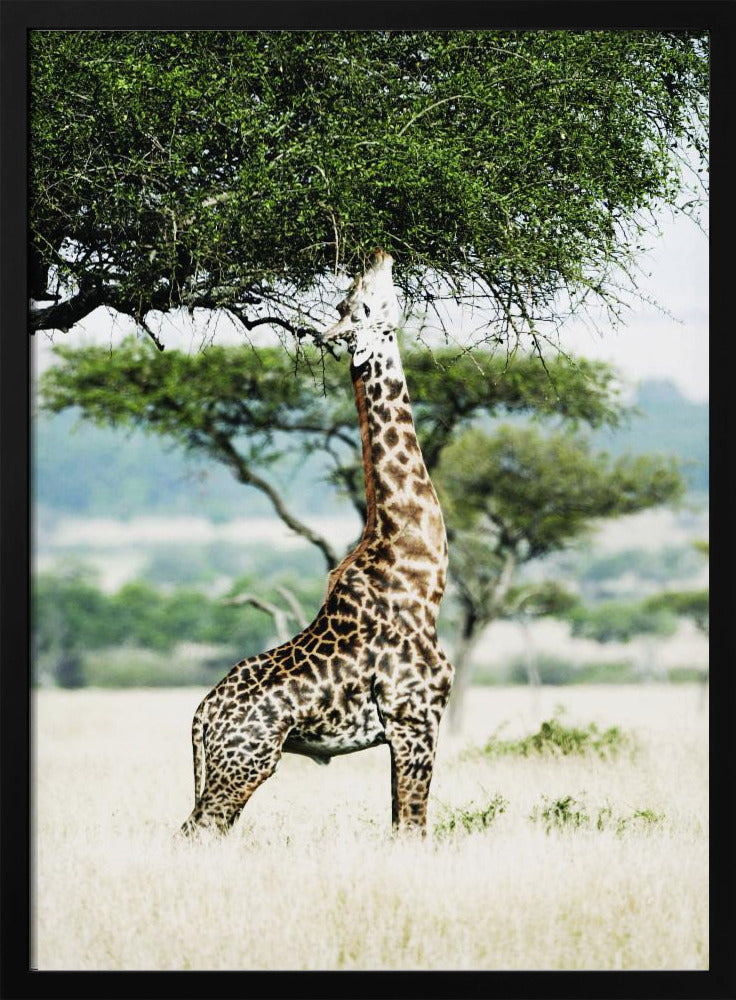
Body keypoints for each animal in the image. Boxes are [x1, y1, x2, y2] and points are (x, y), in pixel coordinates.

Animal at [180, 250, 454, 836]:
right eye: (360, 302)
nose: (377, 253)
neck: (421, 577)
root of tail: (202, 715)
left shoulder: (404, 730)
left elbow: (399, 824)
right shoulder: (416, 716)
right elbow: (414, 829)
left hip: (228, 765)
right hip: (247, 762)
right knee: (197, 830)